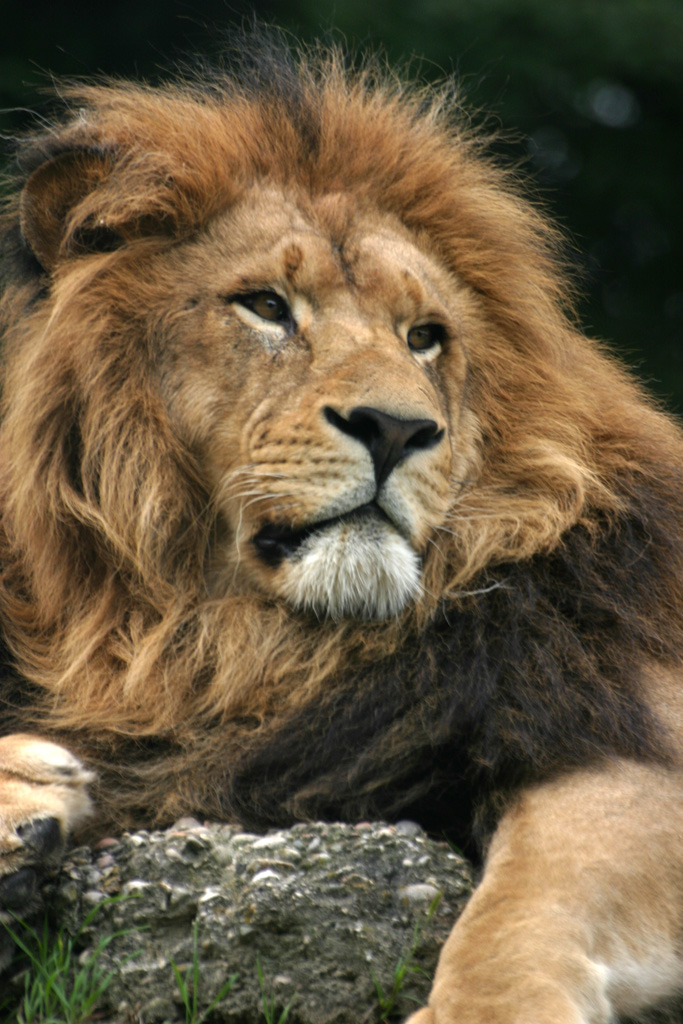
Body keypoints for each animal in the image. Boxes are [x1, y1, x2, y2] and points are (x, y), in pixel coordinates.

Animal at [0, 33, 682, 1023]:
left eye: (424, 335)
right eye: (266, 305)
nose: (395, 429)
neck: (241, 644)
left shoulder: (618, 721)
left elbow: (527, 903)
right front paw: (24, 788)